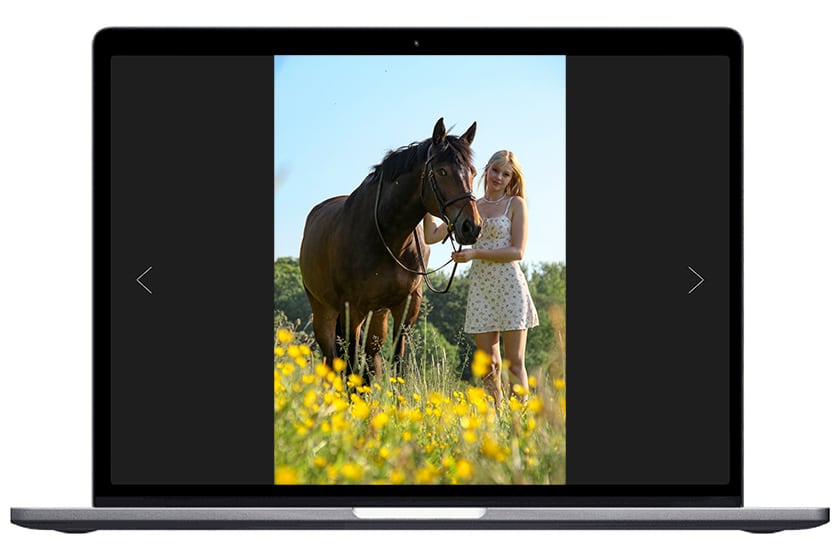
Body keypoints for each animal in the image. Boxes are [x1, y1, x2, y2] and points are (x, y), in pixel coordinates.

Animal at [298, 116, 480, 382]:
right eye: (441, 171)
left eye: (473, 173)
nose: (471, 226)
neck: (386, 237)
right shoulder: (351, 310)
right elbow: (350, 366)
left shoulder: (406, 309)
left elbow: (395, 364)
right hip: (324, 313)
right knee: (333, 361)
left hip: (377, 315)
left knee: (371, 361)